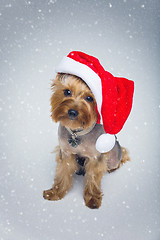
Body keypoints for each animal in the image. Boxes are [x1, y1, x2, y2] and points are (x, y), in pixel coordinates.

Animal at [42, 73, 130, 208]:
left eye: (89, 98)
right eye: (67, 92)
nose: (73, 112)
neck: (77, 132)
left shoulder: (95, 157)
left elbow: (92, 178)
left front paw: (92, 199)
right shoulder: (66, 153)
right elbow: (62, 173)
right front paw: (55, 192)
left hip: (114, 157)